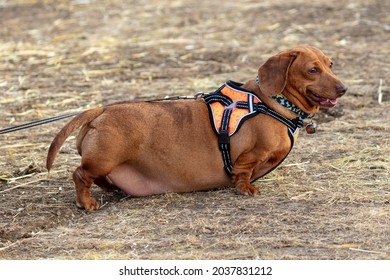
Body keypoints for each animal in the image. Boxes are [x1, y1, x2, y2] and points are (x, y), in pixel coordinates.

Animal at [46, 46, 348, 211]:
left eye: (331, 65)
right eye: (312, 70)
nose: (344, 88)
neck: (271, 102)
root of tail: (102, 109)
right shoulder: (249, 155)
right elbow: (243, 173)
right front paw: (245, 188)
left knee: (96, 178)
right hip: (104, 158)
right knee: (80, 175)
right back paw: (86, 203)